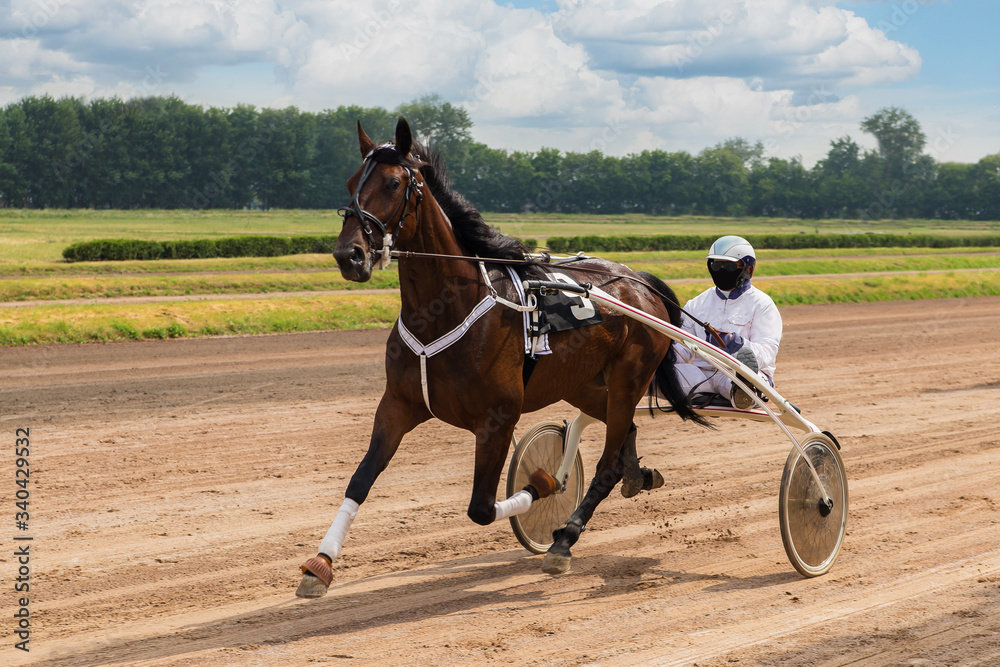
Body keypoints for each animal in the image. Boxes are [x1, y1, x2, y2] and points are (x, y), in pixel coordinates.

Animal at [294, 117, 704, 596]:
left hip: (627, 379)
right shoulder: (397, 405)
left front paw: (545, 484)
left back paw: (565, 539)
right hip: (582, 384)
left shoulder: (498, 418)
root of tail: (637, 279)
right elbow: (360, 480)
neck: (444, 309)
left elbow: (483, 508)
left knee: (607, 461)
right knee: (624, 437)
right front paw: (320, 564)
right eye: (351, 181)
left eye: (394, 183)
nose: (349, 255)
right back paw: (638, 474)